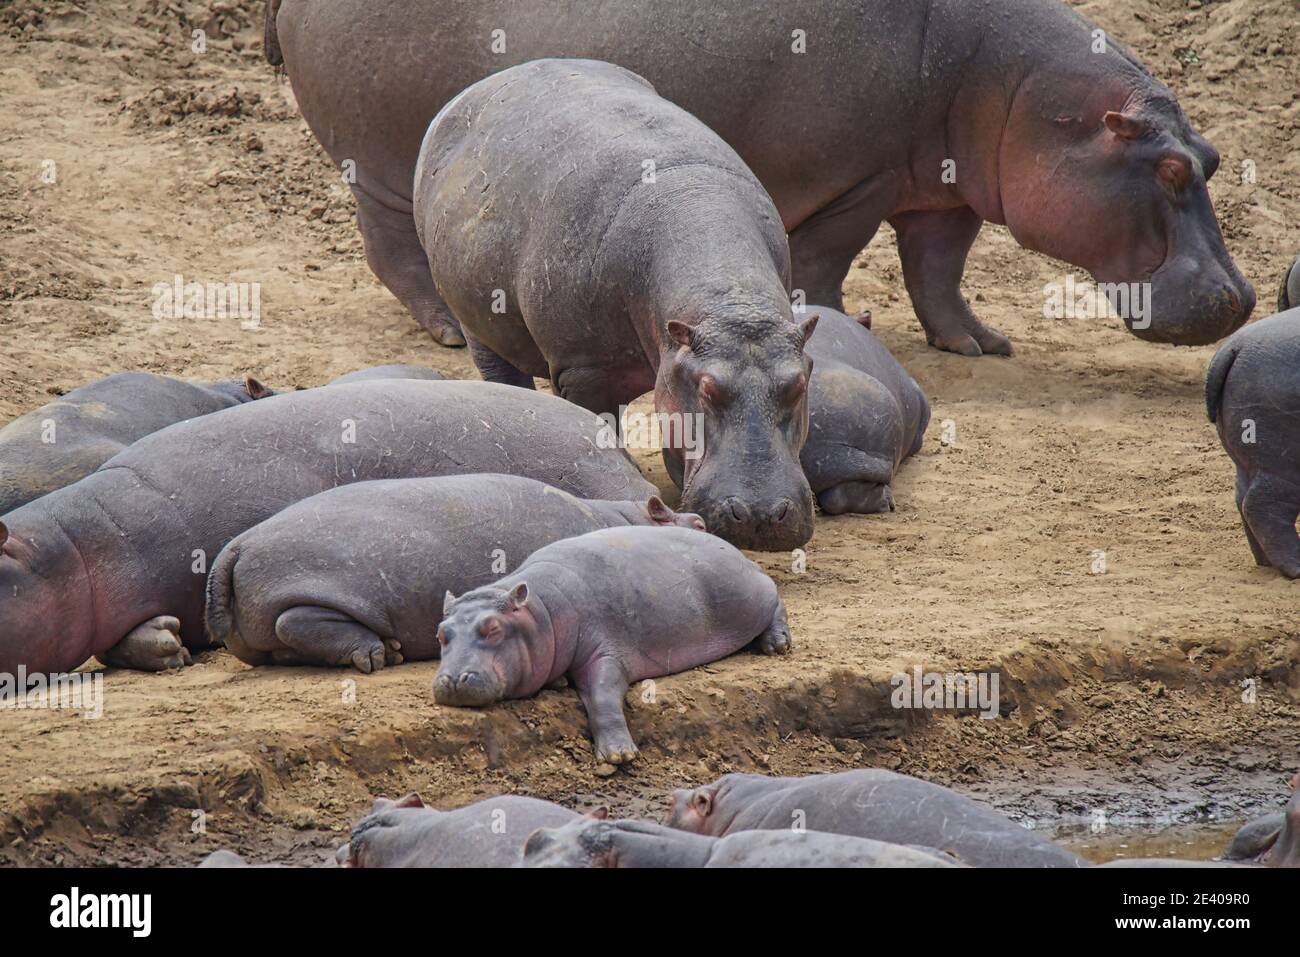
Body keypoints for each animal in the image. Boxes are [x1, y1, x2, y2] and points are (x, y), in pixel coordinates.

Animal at [206, 474, 704, 672]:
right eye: (698, 525)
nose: (704, 524)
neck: (619, 520)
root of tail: (236, 545)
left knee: (281, 645)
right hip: (310, 592)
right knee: (297, 623)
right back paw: (381, 654)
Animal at [269, 0, 1253, 356]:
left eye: (1208, 158)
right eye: (1170, 168)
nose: (1244, 299)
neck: (1021, 87)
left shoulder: (941, 189)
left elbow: (940, 276)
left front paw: (981, 345)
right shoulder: (856, 181)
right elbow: (830, 261)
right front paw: (844, 322)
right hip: (383, 168)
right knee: (394, 251)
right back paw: (441, 331)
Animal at [413, 59, 816, 551]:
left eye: (799, 385)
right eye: (707, 389)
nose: (760, 515)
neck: (730, 298)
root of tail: (482, 85)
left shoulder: (672, 367)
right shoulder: (583, 371)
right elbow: (602, 426)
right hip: (478, 323)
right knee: (501, 370)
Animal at [434, 525, 792, 765]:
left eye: (493, 628)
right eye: (441, 633)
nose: (452, 680)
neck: (540, 612)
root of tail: (738, 552)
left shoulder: (606, 651)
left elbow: (602, 695)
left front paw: (619, 756)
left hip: (751, 597)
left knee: (776, 600)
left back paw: (777, 645)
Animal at [1205, 307, 1300, 576]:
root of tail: (1233, 347)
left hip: (1248, 462)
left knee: (1242, 499)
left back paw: (1266, 562)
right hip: (1283, 465)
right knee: (1262, 506)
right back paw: (1296, 568)